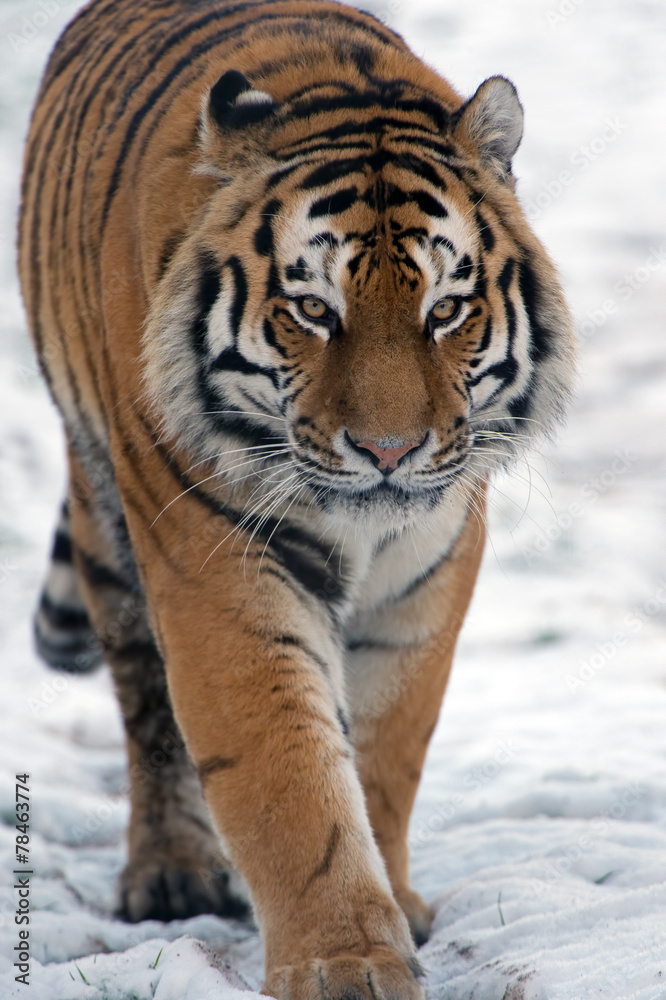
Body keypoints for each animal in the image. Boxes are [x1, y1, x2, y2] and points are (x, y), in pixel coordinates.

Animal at [18, 0, 575, 996]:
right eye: (314, 311)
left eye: (445, 310)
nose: (390, 451)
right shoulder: (219, 566)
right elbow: (288, 778)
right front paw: (345, 961)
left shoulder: (428, 574)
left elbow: (386, 750)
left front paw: (393, 905)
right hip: (105, 512)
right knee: (144, 699)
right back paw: (172, 873)